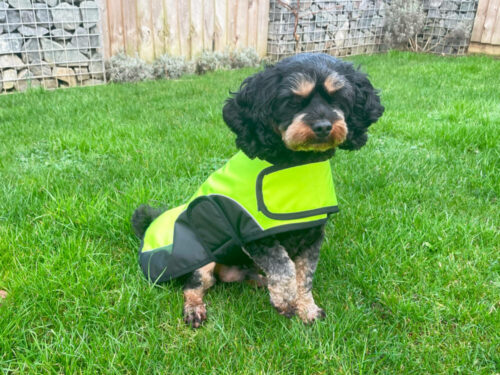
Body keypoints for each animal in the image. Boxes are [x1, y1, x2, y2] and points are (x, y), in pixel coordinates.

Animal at [132, 53, 382, 328]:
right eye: (291, 101)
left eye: (338, 97)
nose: (323, 126)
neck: (296, 164)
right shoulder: (255, 235)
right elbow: (284, 267)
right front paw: (285, 300)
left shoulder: (312, 235)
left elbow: (304, 276)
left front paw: (307, 308)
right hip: (203, 255)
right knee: (195, 284)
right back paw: (195, 309)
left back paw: (261, 281)